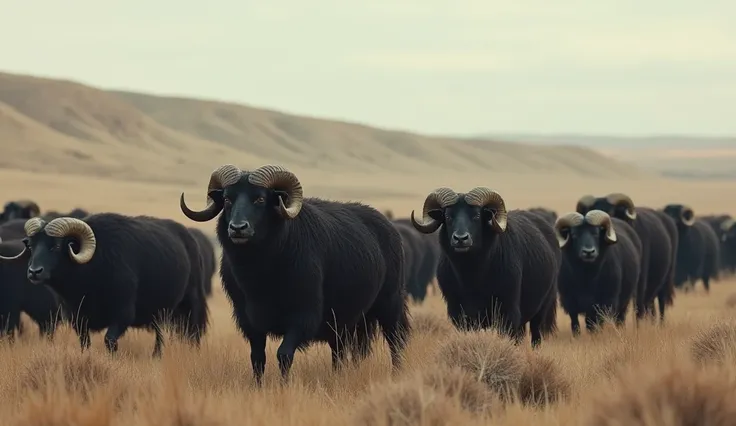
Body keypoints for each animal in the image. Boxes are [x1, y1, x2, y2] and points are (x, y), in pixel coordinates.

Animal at [15, 213, 210, 356]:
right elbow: (85, 343)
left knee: (192, 333)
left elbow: (109, 341)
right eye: (31, 246)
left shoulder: (123, 315)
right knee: (160, 334)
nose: (34, 271)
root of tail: (190, 239)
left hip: (190, 304)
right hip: (162, 313)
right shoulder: (78, 319)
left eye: (55, 246)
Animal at [178, 163, 408, 382]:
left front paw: (283, 385)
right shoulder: (250, 321)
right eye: (227, 199)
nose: (237, 228)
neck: (260, 276)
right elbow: (257, 357)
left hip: (389, 304)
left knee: (395, 341)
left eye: (260, 199)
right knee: (341, 351)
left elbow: (284, 354)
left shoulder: (302, 318)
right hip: (347, 320)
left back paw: (396, 373)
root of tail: (389, 228)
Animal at [412, 186, 560, 346]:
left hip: (542, 308)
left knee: (535, 336)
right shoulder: (459, 314)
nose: (460, 239)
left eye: (477, 216)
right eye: (448, 217)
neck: (472, 277)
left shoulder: (507, 312)